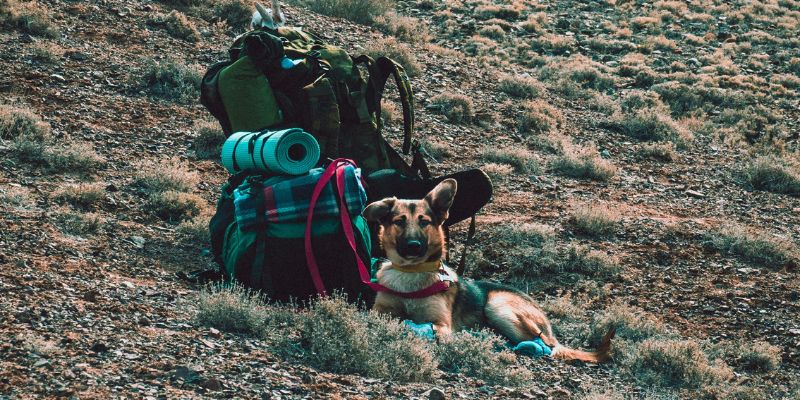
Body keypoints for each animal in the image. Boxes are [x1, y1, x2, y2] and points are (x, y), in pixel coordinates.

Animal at [362, 178, 612, 362]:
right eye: (399, 221)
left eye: (424, 222)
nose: (414, 246)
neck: (410, 273)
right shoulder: (381, 310)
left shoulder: (441, 323)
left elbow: (435, 330)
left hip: (498, 306)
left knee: (546, 346)